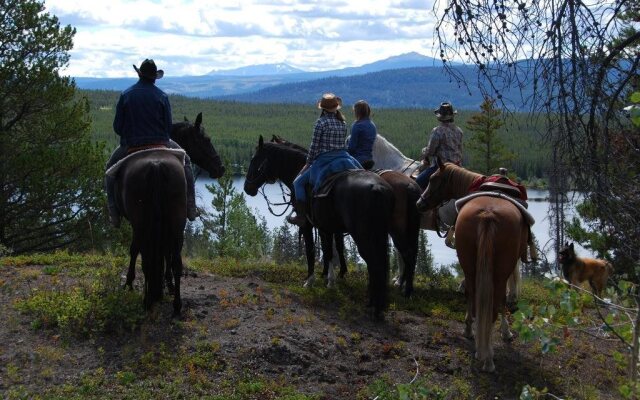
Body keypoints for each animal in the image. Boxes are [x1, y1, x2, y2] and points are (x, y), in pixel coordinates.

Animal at [119, 112, 226, 316]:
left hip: (143, 223)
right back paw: (175, 304)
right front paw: (166, 284)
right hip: (171, 224)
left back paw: (146, 297)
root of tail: (155, 165)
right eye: (206, 139)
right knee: (173, 260)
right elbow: (166, 254)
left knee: (144, 254)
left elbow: (143, 251)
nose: (221, 168)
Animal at [244, 137, 396, 318]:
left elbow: (311, 250)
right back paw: (374, 303)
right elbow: (328, 251)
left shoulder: (307, 224)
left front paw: (310, 281)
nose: (247, 188)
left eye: (254, 160)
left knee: (374, 263)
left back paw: (375, 306)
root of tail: (378, 188)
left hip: (364, 236)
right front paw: (330, 280)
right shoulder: (326, 227)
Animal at [268, 136, 422, 296]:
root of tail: (410, 186)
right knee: (407, 253)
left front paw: (326, 276)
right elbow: (335, 247)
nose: (253, 185)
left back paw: (401, 286)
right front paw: (337, 273)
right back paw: (403, 285)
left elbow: (327, 248)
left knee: (401, 253)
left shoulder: (318, 225)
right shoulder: (330, 226)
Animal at [416, 159, 528, 372]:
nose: (420, 203)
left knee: (472, 293)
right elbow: (501, 302)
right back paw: (487, 357)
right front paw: (506, 332)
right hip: (499, 271)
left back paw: (473, 337)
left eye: (434, 179)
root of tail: (488, 214)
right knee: (493, 302)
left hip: (468, 261)